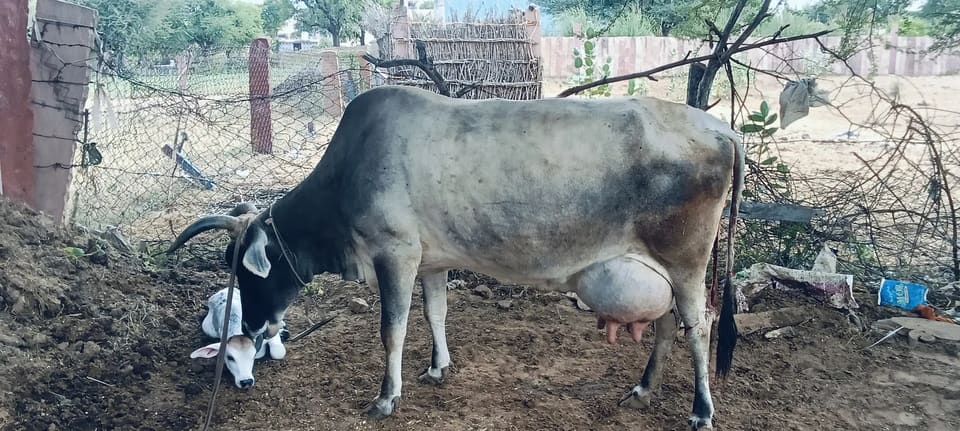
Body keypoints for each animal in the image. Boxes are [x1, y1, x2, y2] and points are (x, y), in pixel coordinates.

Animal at [166, 84, 744, 429]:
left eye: (240, 265)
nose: (253, 324)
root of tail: (721, 127)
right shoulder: (432, 261)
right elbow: (435, 313)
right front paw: (437, 366)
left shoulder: (395, 252)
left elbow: (392, 328)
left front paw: (386, 397)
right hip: (658, 269)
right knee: (668, 326)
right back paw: (643, 388)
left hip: (687, 262)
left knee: (699, 326)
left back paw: (701, 410)